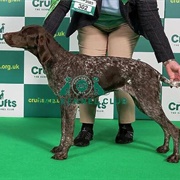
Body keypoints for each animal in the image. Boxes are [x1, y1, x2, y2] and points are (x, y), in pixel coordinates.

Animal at [2, 25, 180, 163]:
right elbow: (63, 131)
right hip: (145, 104)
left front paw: (63, 153)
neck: (58, 61)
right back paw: (164, 148)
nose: (4, 35)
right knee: (166, 127)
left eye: (24, 33)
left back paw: (174, 157)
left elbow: (68, 133)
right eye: (21, 29)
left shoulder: (70, 104)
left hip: (148, 103)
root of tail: (155, 71)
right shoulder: (63, 104)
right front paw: (59, 148)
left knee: (173, 129)